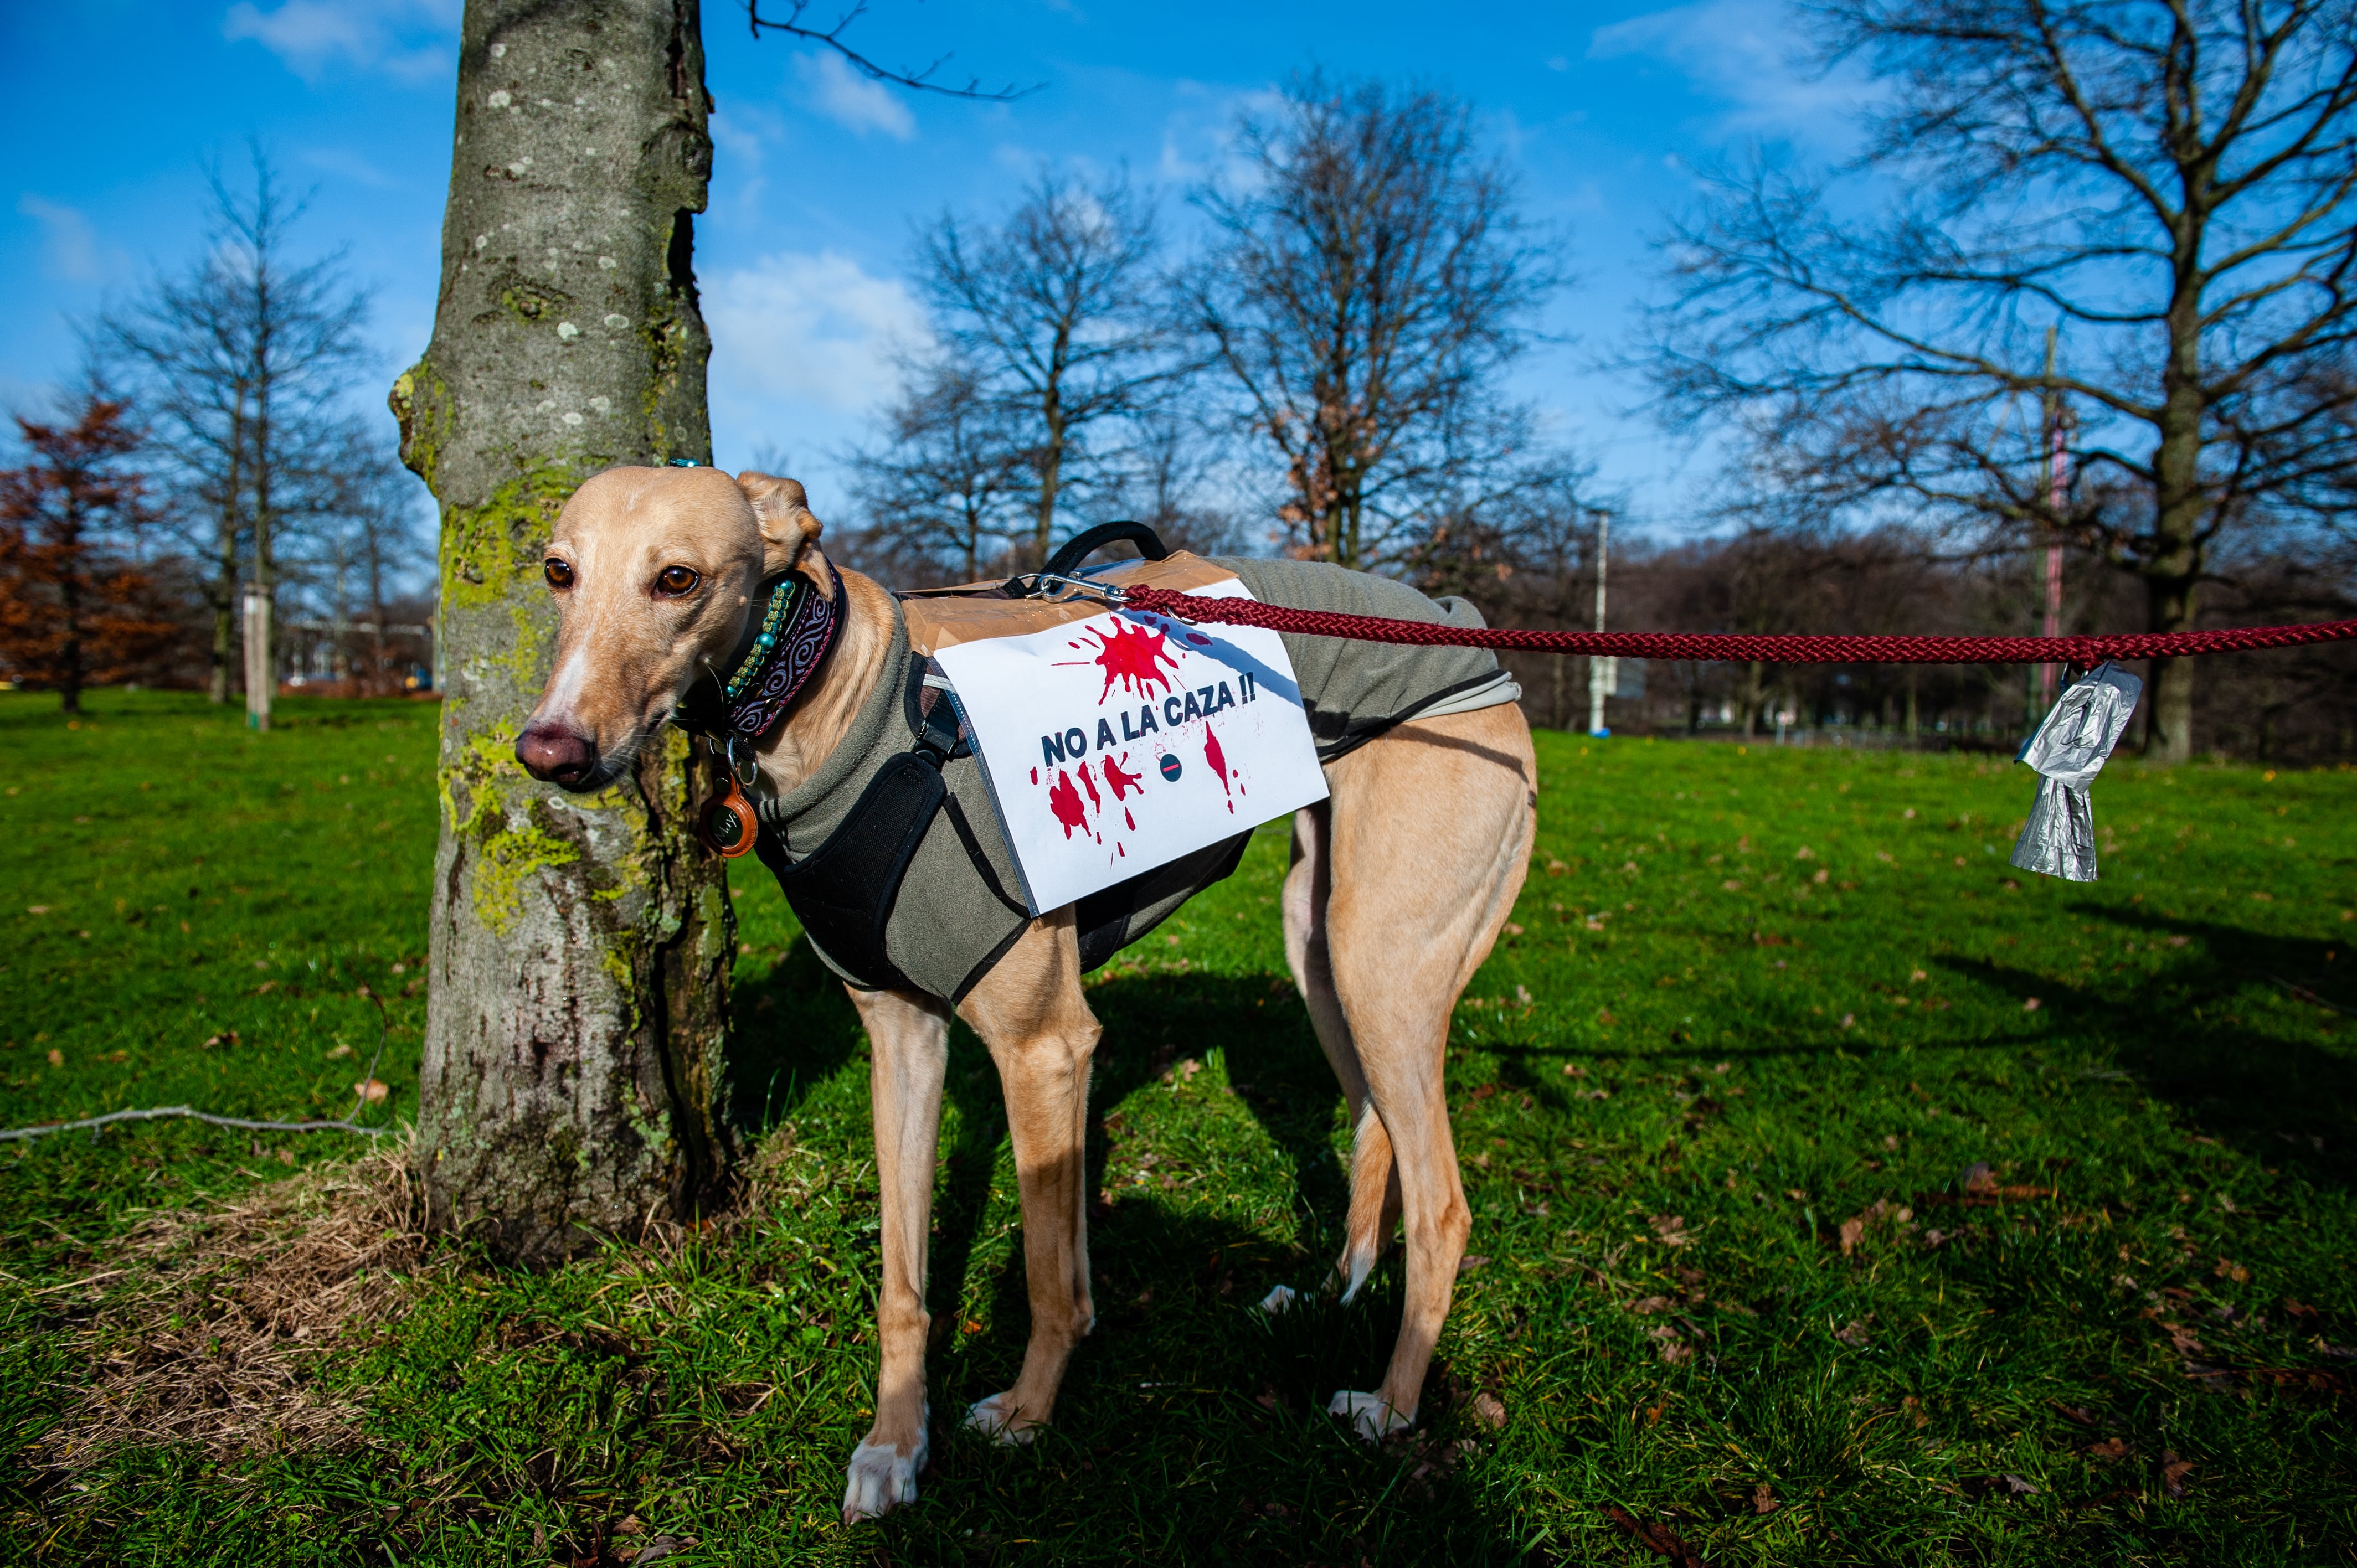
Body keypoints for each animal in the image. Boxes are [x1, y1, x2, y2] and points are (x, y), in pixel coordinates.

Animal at [513, 464, 1536, 1518]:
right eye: (557, 570)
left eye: (677, 578)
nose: (549, 750)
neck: (848, 711)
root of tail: (1463, 625)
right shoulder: (904, 1044)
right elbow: (907, 1283)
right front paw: (894, 1444)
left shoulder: (1042, 1046)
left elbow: (1050, 1278)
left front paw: (1027, 1414)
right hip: (1320, 944)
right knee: (1377, 1130)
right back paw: (1333, 1290)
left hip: (1381, 962)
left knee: (1444, 1205)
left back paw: (1392, 1404)